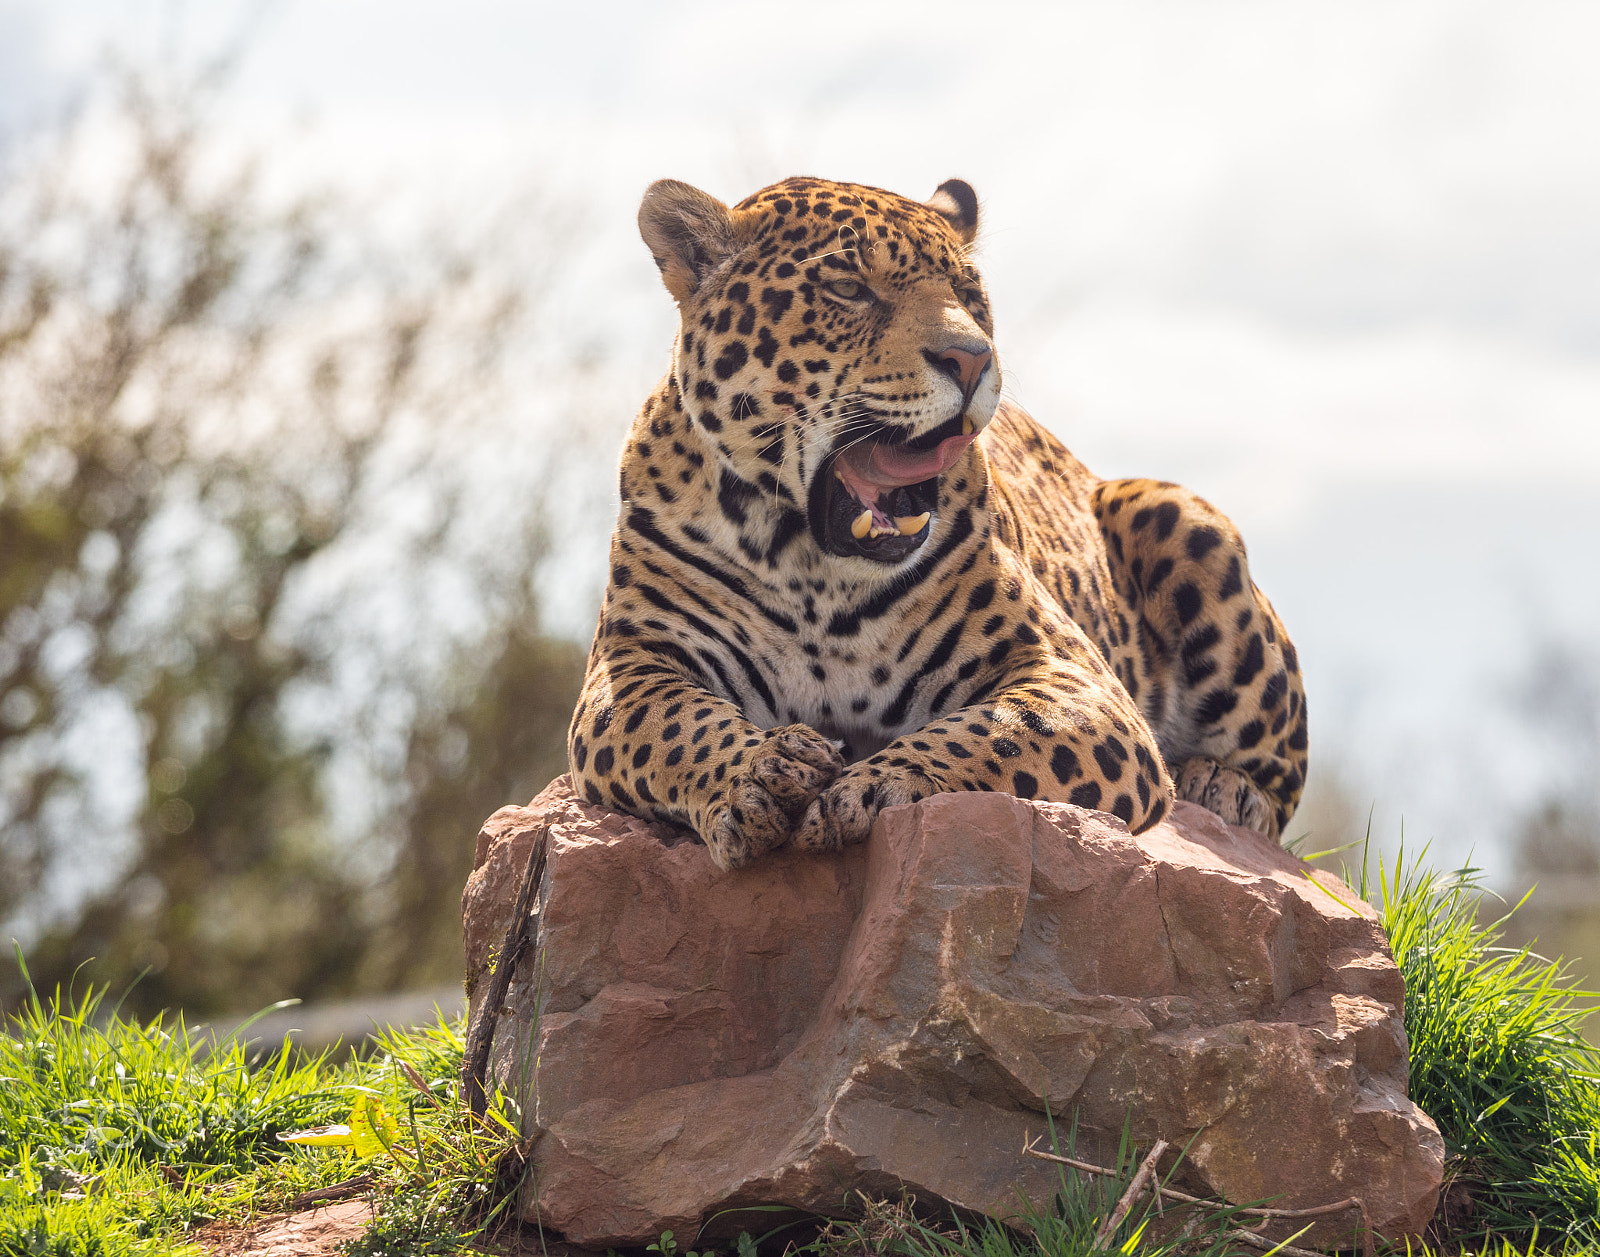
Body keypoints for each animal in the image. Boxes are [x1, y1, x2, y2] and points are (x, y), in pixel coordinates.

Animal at [569, 171, 1305, 869]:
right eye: (848, 287)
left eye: (969, 294)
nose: (972, 358)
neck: (811, 567)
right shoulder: (631, 665)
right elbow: (677, 726)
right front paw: (760, 776)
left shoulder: (1076, 680)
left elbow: (994, 735)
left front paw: (864, 789)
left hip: (1183, 516)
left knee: (1279, 788)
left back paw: (1224, 787)